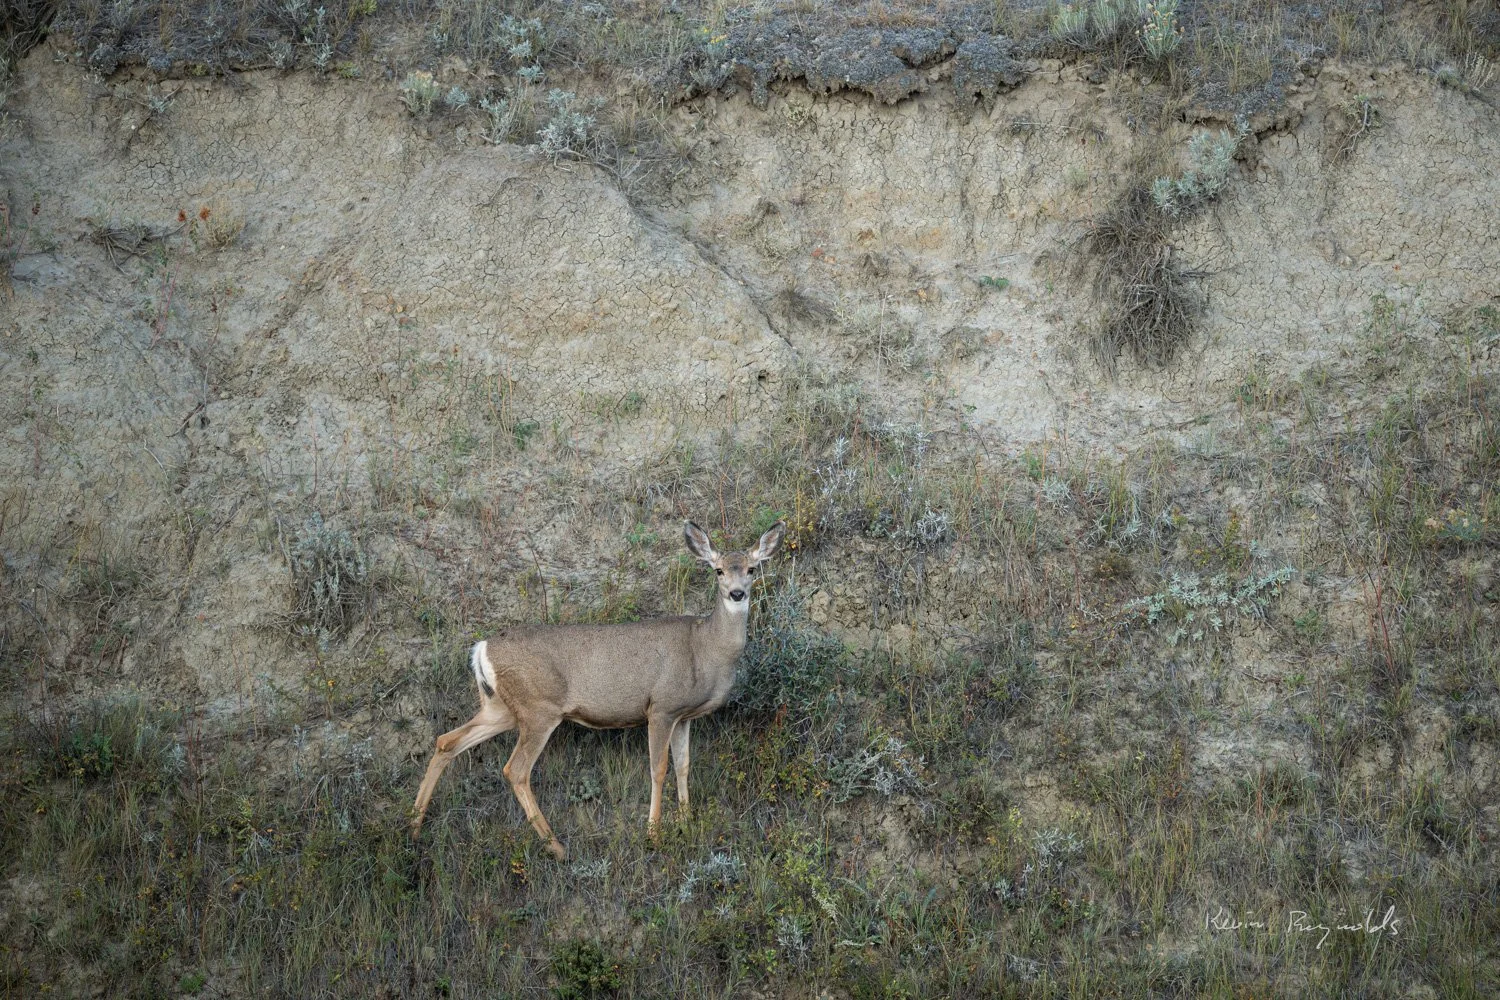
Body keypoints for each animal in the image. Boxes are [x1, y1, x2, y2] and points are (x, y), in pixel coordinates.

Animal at [409, 519, 786, 860]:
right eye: (718, 570)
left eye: (752, 568)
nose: (737, 593)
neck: (706, 649)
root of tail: (481, 648)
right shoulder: (661, 707)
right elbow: (658, 768)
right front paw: (654, 834)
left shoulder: (684, 716)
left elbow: (683, 765)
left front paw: (686, 822)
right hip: (537, 709)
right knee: (515, 770)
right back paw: (557, 848)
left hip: (501, 708)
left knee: (447, 741)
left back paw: (413, 827)